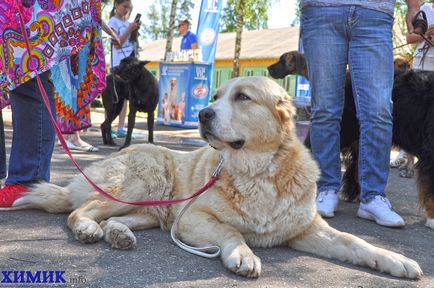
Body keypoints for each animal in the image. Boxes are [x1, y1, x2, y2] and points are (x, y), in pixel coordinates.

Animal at [5, 77, 422, 280]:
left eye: (242, 97)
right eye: (217, 95)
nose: (203, 113)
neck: (259, 172)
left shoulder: (307, 230)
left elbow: (356, 242)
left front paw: (395, 261)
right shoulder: (193, 218)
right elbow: (231, 230)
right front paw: (243, 253)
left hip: (155, 208)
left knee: (115, 219)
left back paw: (118, 234)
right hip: (145, 180)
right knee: (79, 212)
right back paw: (88, 229)